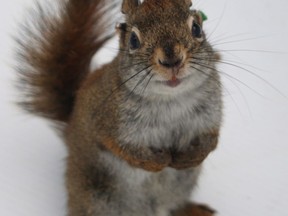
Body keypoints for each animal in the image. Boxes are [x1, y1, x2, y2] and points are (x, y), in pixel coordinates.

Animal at [15, 0, 223, 215]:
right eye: (133, 40)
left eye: (196, 28)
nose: (172, 61)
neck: (170, 99)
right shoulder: (106, 120)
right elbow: (122, 148)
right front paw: (159, 161)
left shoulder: (210, 116)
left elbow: (211, 139)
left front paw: (192, 157)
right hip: (95, 199)